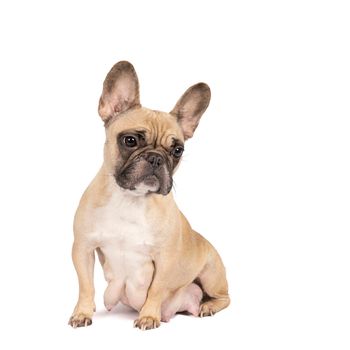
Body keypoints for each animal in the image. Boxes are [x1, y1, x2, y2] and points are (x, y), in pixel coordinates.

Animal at [68, 60, 231, 330]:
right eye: (130, 140)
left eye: (177, 150)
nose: (156, 158)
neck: (129, 199)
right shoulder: (83, 248)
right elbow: (85, 286)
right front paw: (82, 312)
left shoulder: (165, 259)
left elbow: (156, 290)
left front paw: (148, 316)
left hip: (211, 272)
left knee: (224, 297)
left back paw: (207, 306)